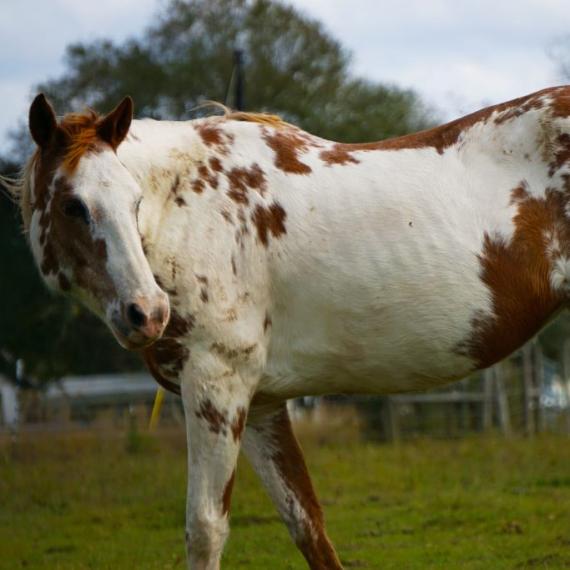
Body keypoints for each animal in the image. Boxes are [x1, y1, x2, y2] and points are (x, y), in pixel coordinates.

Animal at [7, 85, 568, 568]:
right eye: (72, 205)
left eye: (133, 199)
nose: (146, 312)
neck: (194, 210)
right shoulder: (262, 405)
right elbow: (308, 525)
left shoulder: (216, 386)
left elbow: (205, 529)